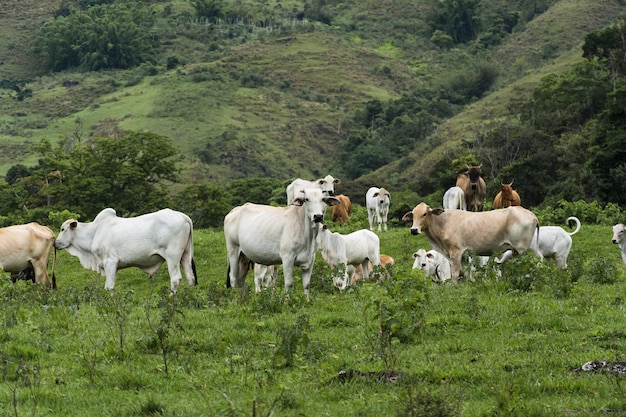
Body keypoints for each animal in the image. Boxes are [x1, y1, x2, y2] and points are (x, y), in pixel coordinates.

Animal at [53, 208, 196, 292]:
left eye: (62, 229)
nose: (55, 243)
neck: (94, 232)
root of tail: (183, 216)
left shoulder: (110, 262)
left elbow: (109, 286)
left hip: (172, 256)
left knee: (176, 279)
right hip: (185, 255)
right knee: (190, 277)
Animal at [402, 202, 540, 282]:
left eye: (425, 214)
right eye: (413, 215)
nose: (414, 230)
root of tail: (531, 214)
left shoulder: (456, 252)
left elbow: (455, 274)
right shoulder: (464, 255)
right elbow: (466, 273)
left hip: (525, 249)